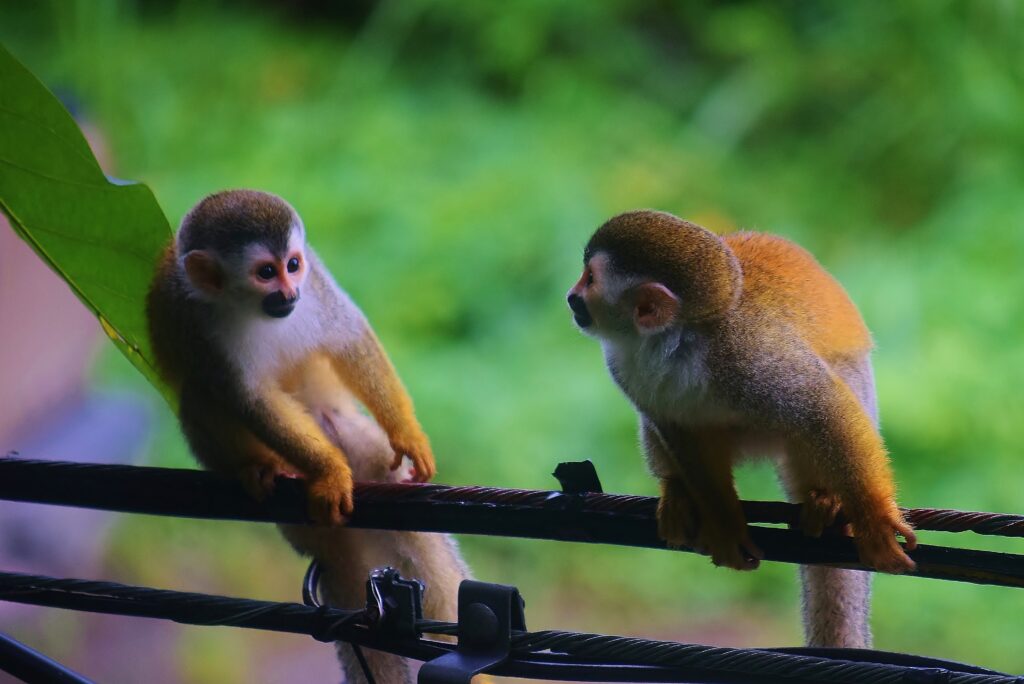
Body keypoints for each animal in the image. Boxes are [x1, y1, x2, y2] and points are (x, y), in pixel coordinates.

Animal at [147, 189, 471, 679]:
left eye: (293, 264)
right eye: (266, 272)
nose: (288, 292)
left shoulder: (315, 280)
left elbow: (349, 336)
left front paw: (407, 434)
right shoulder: (200, 324)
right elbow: (249, 399)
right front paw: (329, 474)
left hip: (352, 434)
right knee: (199, 394)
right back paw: (259, 466)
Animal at [569, 210, 921, 651]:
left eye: (590, 279)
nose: (571, 296)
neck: (674, 344)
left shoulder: (746, 355)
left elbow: (820, 405)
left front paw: (873, 519)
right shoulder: (622, 366)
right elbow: (676, 430)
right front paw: (723, 522)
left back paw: (825, 498)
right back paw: (676, 490)